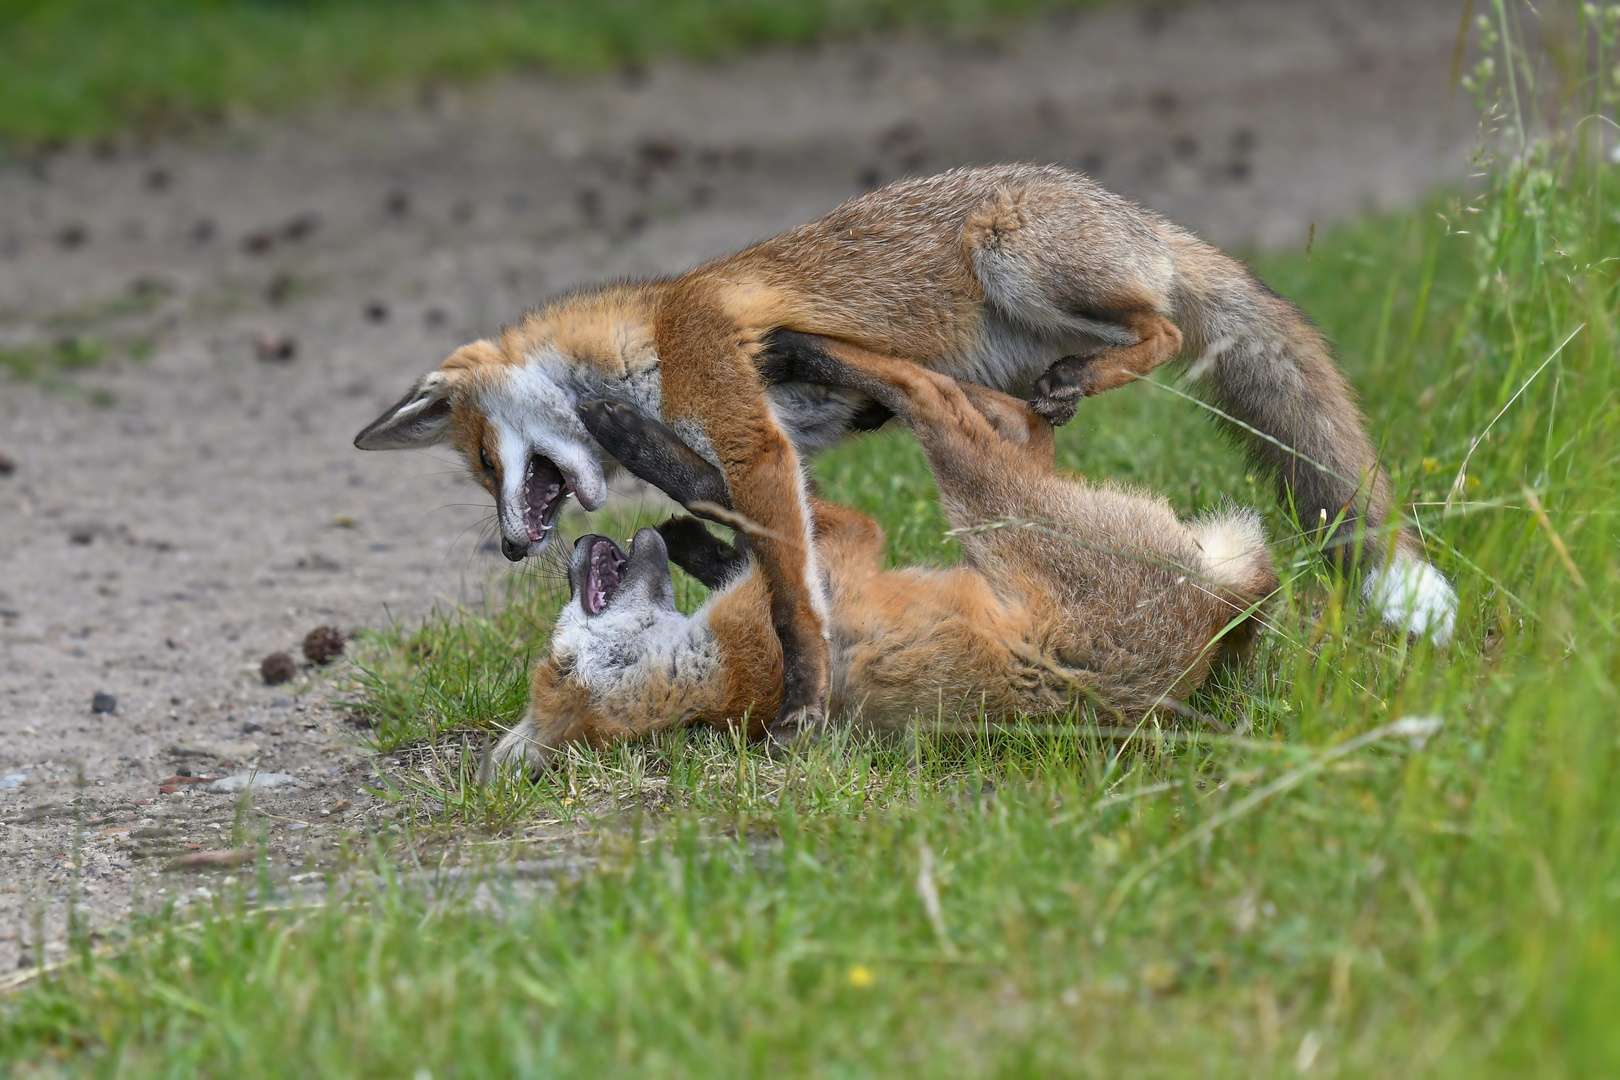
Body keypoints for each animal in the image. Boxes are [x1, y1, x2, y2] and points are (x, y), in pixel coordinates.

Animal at [479, 341, 1276, 773]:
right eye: (557, 664)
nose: (573, 550)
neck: (717, 680)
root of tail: (1216, 619)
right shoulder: (841, 550)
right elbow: (730, 495)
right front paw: (645, 450)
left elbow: (738, 524)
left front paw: (682, 529)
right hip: (989, 505)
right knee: (935, 395)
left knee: (1002, 413)